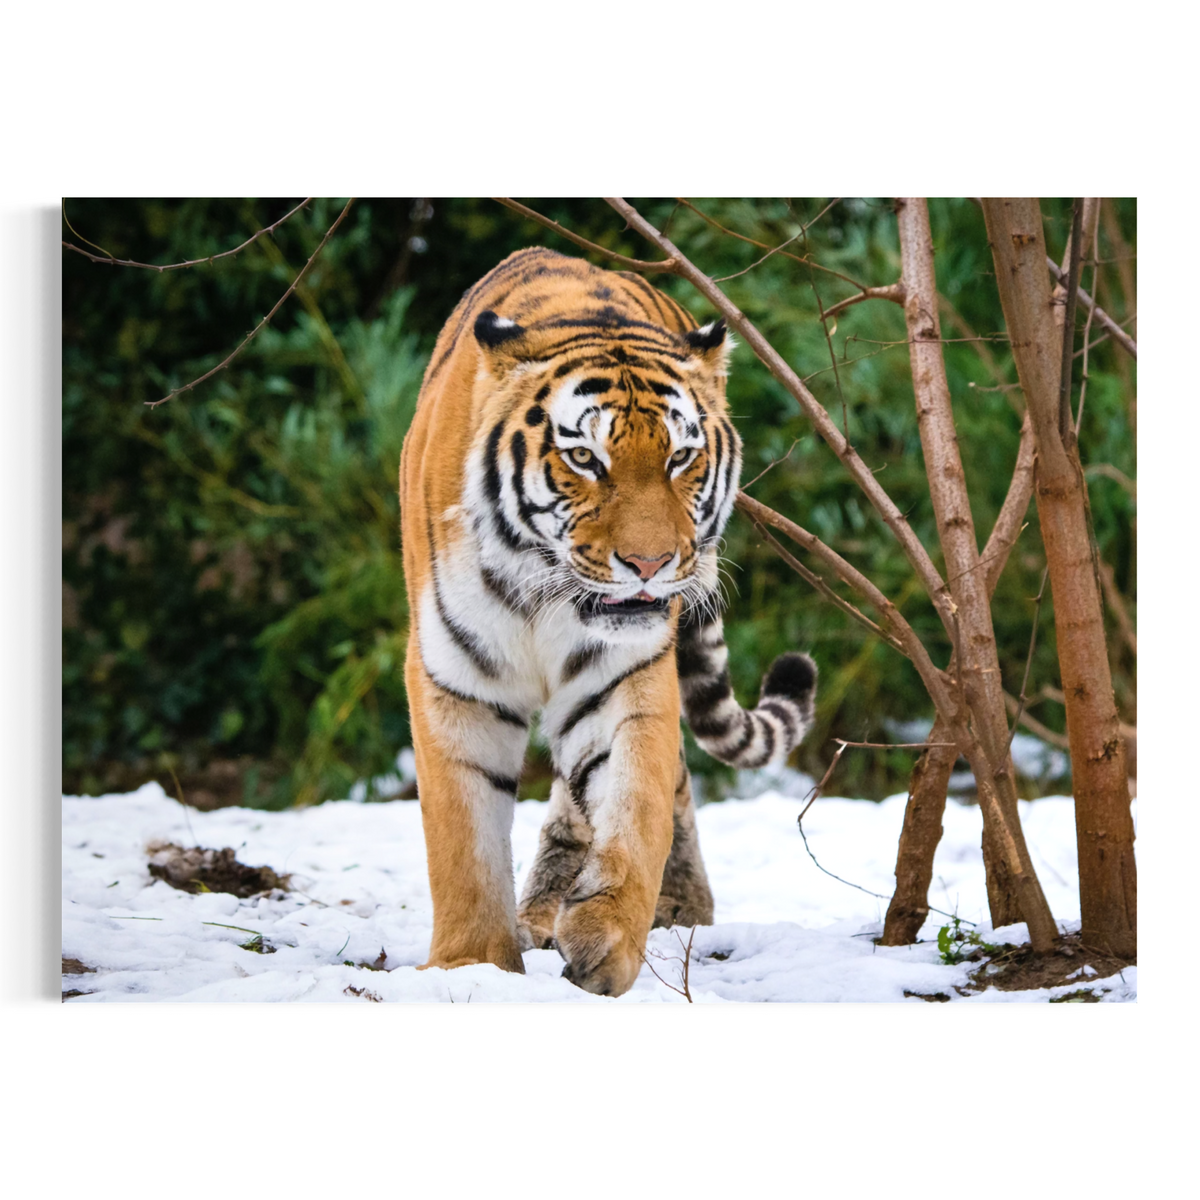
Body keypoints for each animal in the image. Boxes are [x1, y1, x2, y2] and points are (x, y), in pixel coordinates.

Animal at [399, 247, 816, 997]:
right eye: (584, 459)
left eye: (681, 457)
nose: (650, 564)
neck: (539, 590)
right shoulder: (455, 682)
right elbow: (462, 840)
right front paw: (470, 967)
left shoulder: (623, 674)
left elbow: (637, 802)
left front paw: (608, 940)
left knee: (652, 785)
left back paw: (673, 906)